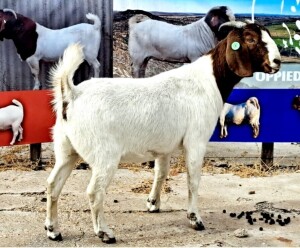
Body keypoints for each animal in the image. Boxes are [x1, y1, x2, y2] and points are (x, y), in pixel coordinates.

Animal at [45, 21, 282, 244]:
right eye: (250, 39)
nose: (277, 61)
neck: (209, 79)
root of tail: (71, 94)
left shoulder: (164, 147)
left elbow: (161, 173)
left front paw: (153, 204)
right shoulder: (196, 140)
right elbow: (193, 179)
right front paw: (195, 219)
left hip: (66, 149)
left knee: (52, 184)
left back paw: (53, 230)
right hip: (104, 155)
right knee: (94, 191)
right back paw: (105, 233)